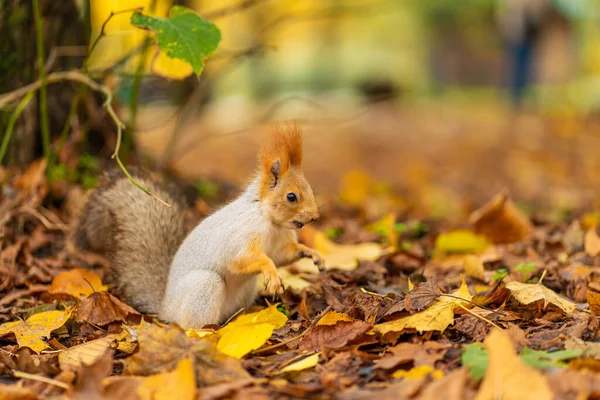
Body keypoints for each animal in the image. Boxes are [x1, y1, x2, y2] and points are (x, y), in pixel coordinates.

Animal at [72, 124, 326, 328]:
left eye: (310, 188)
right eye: (291, 196)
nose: (315, 217)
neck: (270, 221)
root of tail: (166, 309)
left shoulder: (281, 241)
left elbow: (283, 255)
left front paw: (312, 254)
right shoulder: (242, 234)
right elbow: (242, 259)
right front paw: (271, 272)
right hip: (204, 286)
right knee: (191, 325)